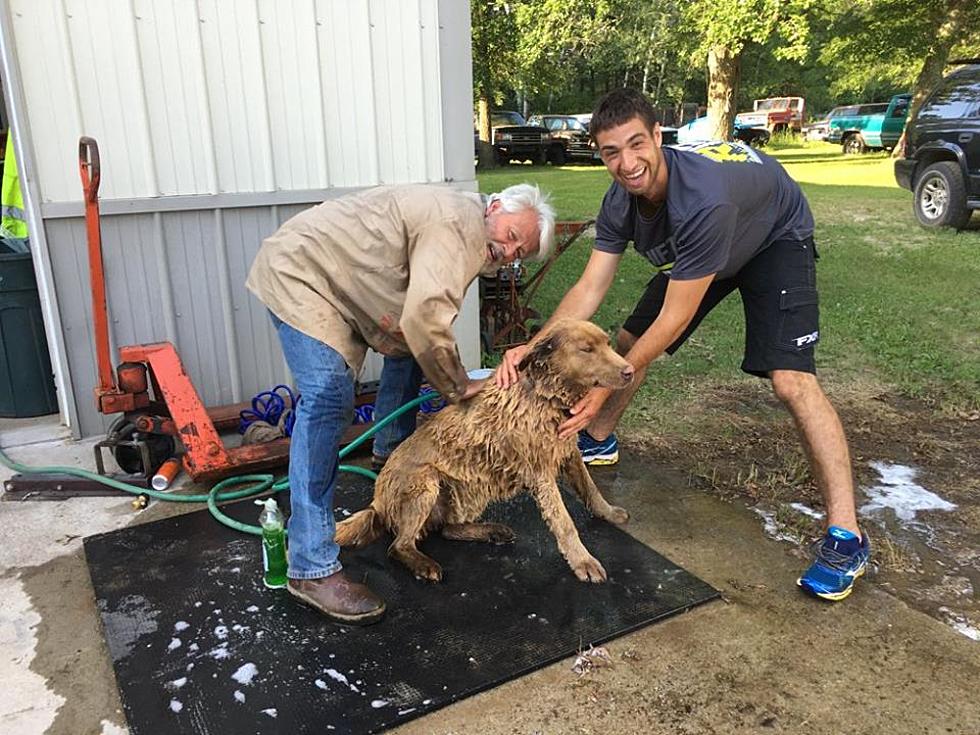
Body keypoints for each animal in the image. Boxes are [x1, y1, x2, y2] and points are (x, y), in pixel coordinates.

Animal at [336, 320, 636, 584]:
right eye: (587, 349)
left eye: (608, 344)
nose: (630, 371)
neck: (545, 396)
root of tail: (377, 503)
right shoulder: (540, 472)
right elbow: (564, 521)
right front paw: (583, 561)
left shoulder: (568, 452)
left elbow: (591, 489)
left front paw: (609, 513)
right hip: (426, 482)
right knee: (399, 545)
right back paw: (424, 565)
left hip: (473, 487)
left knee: (447, 529)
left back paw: (492, 531)